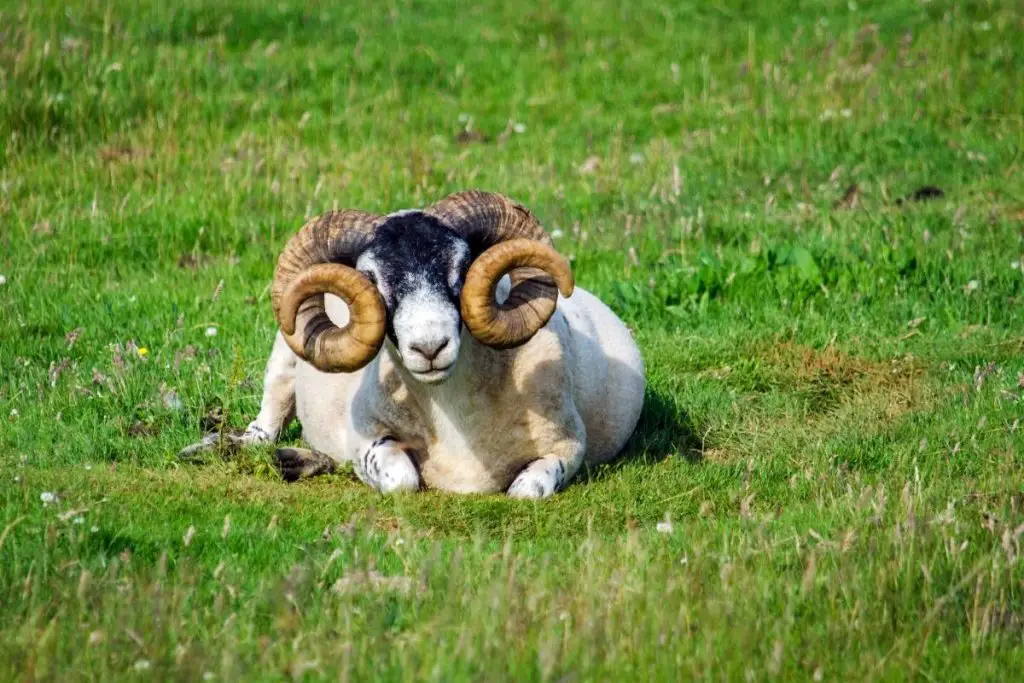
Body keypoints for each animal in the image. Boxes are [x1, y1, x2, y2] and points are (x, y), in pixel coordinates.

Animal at [181, 189, 643, 499]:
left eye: (463, 264)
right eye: (371, 277)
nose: (430, 347)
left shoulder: (569, 445)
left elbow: (526, 491)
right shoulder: (366, 436)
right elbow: (401, 480)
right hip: (283, 359)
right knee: (263, 429)